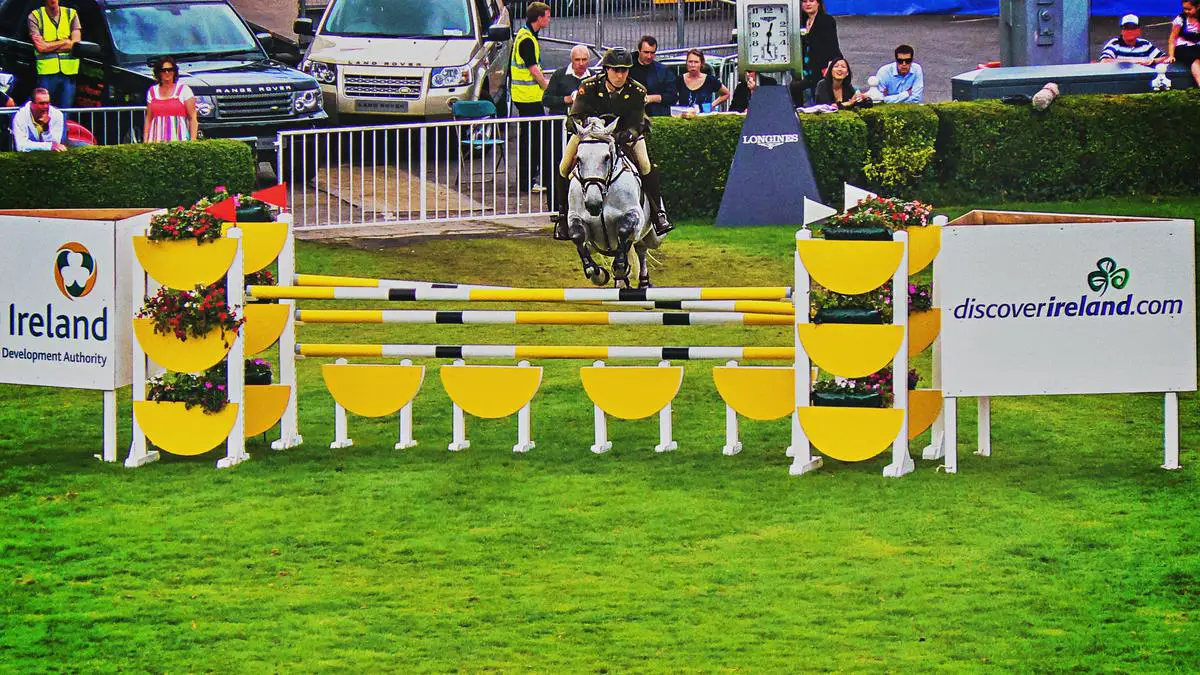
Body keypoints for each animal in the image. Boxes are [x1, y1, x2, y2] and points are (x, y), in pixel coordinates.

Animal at [564, 117, 662, 284]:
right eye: (578, 158)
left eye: (606, 157)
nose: (593, 204)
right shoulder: (575, 217)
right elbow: (577, 236)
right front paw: (596, 272)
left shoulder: (634, 214)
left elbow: (624, 230)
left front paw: (621, 265)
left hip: (655, 237)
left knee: (641, 247)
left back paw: (643, 280)